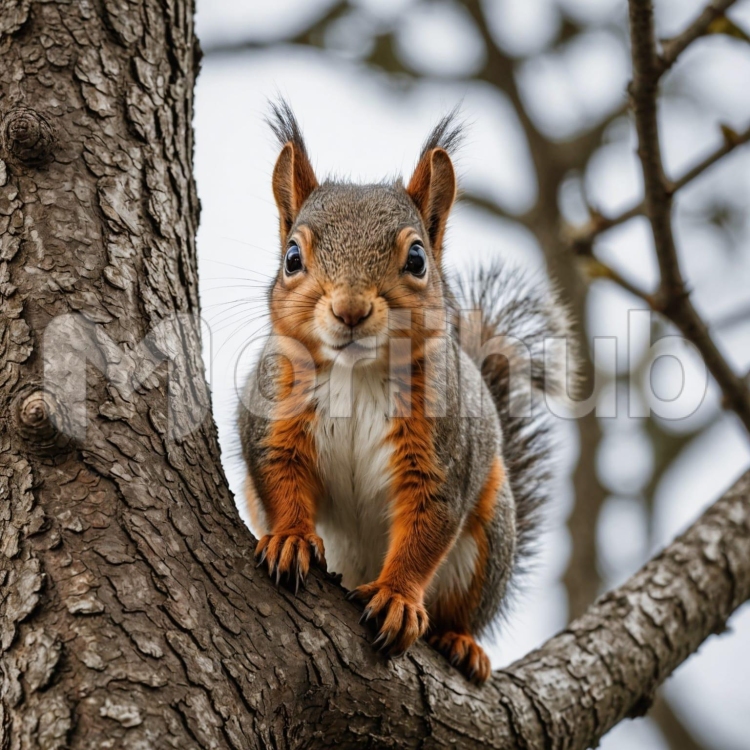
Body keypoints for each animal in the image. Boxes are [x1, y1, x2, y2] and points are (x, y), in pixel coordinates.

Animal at [238, 100, 574, 684]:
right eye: (292, 258)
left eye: (417, 259)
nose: (350, 310)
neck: (356, 374)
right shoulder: (274, 413)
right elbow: (280, 477)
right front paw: (290, 538)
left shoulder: (442, 456)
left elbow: (425, 530)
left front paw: (397, 598)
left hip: (490, 539)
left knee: (464, 610)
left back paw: (462, 642)